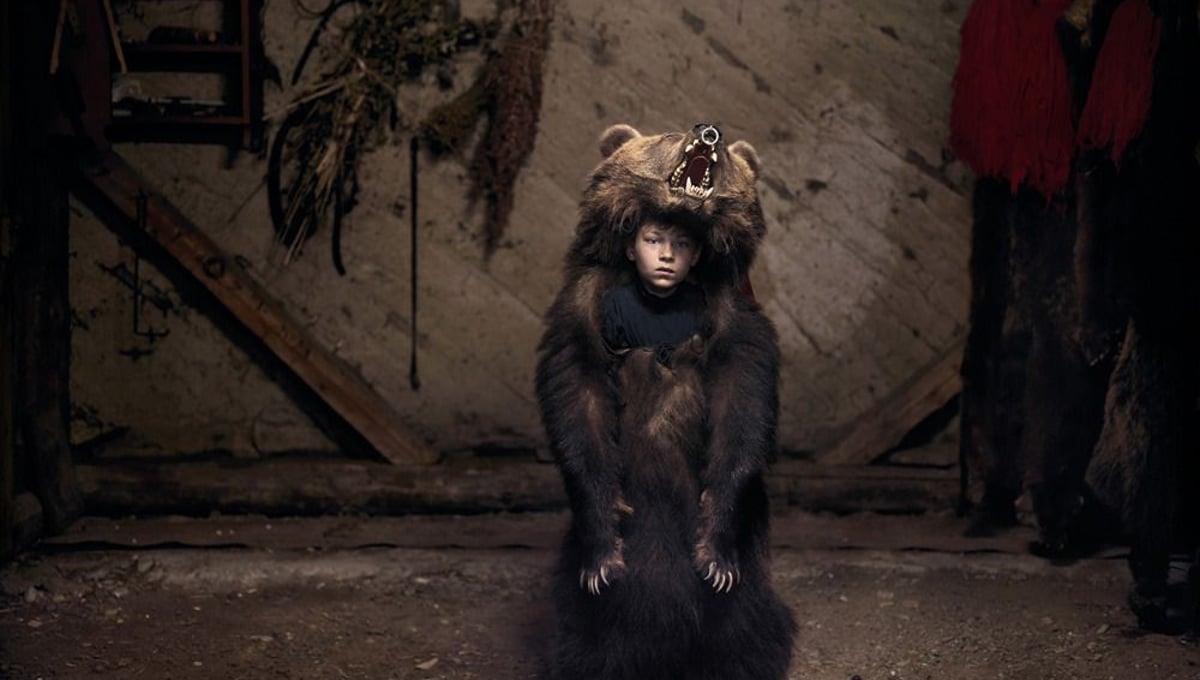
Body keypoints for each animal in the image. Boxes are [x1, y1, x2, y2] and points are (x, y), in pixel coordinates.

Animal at [534, 122, 796, 680]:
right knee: (586, 632)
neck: (658, 301)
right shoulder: (585, 304)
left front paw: (715, 555)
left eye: (729, 159)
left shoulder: (732, 312)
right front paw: (603, 555)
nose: (708, 132)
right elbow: (578, 401)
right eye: (669, 135)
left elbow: (742, 406)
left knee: (747, 624)